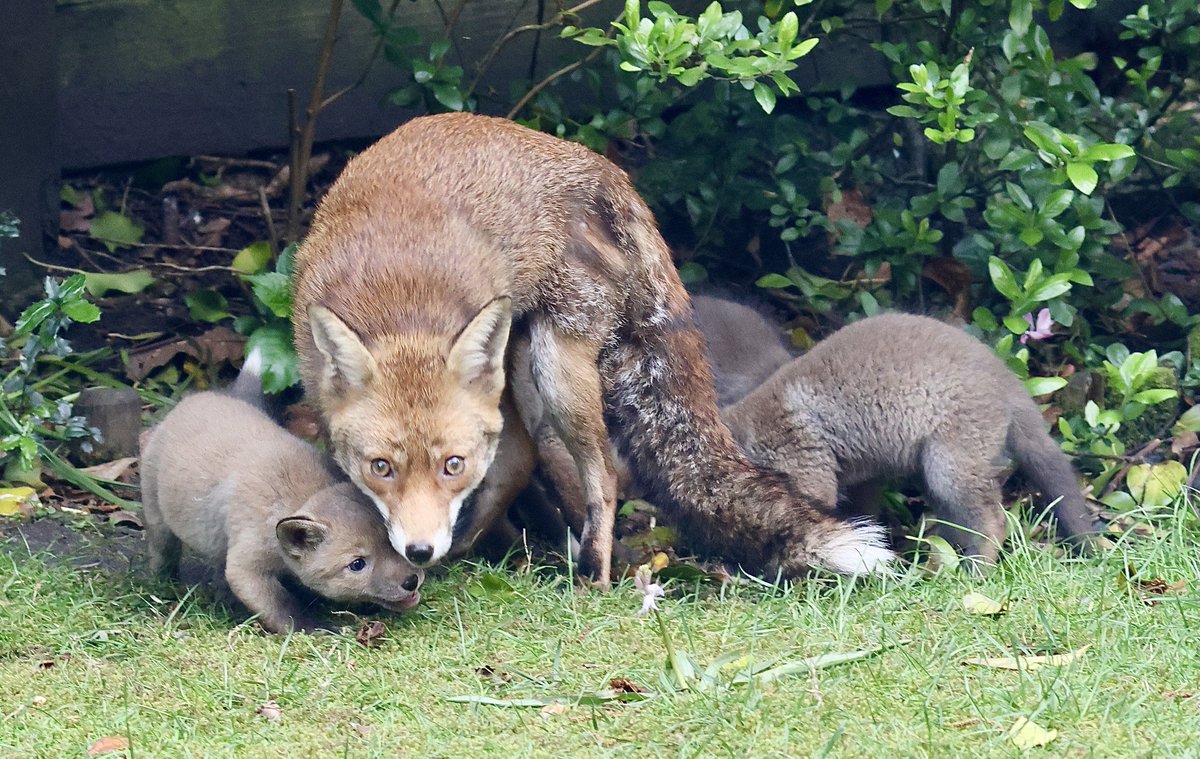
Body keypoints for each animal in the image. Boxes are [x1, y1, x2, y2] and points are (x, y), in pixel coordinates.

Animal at [139, 351, 424, 633]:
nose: (411, 580)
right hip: (157, 515)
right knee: (161, 549)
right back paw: (160, 581)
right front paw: (308, 628)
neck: (295, 493)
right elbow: (279, 605)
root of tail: (202, 398)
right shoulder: (246, 566)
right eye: (357, 564)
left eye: (389, 541)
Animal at [291, 112, 892, 585]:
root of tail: (600, 167)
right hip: (518, 365)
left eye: (451, 465)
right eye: (381, 467)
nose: (421, 551)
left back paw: (592, 577)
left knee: (600, 472)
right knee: (524, 455)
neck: (399, 301)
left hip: (558, 370)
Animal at [720, 312, 1098, 563]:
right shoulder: (862, 479)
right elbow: (862, 519)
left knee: (992, 522)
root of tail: (1005, 376)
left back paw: (976, 573)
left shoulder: (810, 472)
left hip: (950, 468)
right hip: (937, 473)